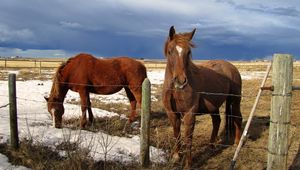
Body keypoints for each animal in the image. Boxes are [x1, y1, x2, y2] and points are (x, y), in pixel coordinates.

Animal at [163, 26, 243, 169]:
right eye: (170, 51)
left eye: (188, 52)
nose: (181, 81)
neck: (174, 90)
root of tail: (232, 67)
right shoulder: (171, 113)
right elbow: (176, 134)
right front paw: (176, 157)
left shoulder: (189, 114)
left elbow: (188, 138)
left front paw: (188, 164)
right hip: (214, 106)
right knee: (217, 121)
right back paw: (211, 145)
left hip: (235, 100)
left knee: (237, 118)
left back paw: (236, 143)